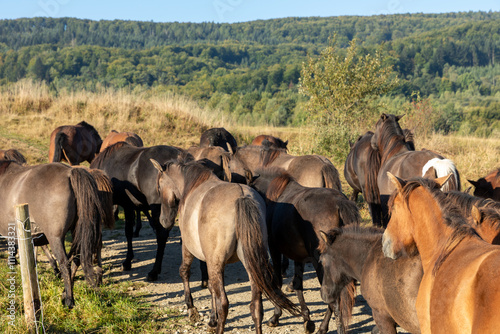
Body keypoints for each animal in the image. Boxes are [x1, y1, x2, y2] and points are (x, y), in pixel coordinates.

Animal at [0, 161, 105, 308]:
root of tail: (70, 172)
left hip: (55, 237)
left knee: (65, 263)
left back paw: (69, 300)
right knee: (77, 259)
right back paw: (65, 293)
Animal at [151, 159, 300, 334]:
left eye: (159, 187)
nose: (164, 221)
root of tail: (242, 197)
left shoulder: (190, 249)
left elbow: (185, 272)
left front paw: (192, 309)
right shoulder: (209, 260)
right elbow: (210, 287)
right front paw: (211, 320)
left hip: (218, 263)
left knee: (224, 303)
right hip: (251, 263)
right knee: (256, 306)